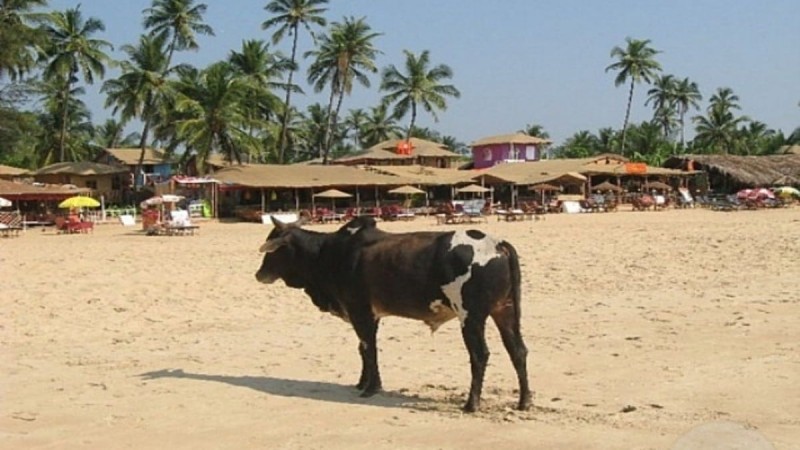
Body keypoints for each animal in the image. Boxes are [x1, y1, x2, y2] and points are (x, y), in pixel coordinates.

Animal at [256, 216, 532, 414]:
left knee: (480, 355)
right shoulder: (370, 315)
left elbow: (369, 349)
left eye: (273, 250)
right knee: (518, 350)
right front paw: (361, 382)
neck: (329, 253)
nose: (259, 274)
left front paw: (371, 388)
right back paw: (524, 402)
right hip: (505, 311)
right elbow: (363, 349)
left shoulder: (360, 311)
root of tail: (498, 244)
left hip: (471, 317)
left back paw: (471, 404)